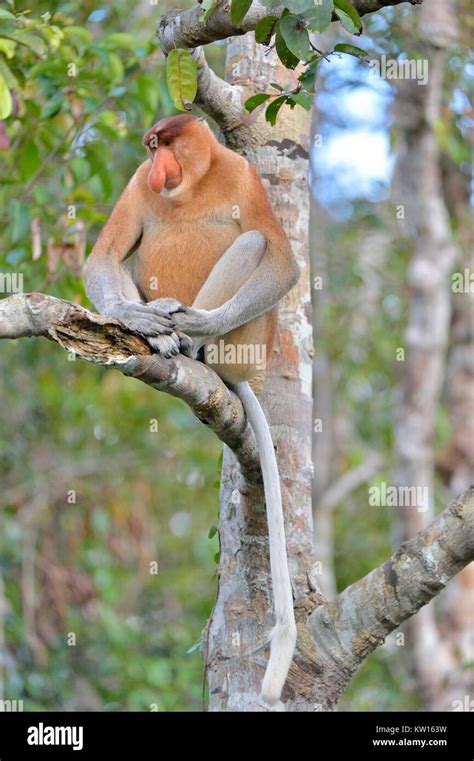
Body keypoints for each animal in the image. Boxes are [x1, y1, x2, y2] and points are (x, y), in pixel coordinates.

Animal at [84, 113, 300, 708]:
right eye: (149, 148)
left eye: (165, 144)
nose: (158, 164)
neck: (192, 187)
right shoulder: (138, 185)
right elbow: (105, 258)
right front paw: (141, 318)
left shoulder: (243, 175)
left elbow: (282, 261)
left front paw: (195, 323)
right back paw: (158, 333)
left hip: (249, 345)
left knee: (253, 240)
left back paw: (193, 342)